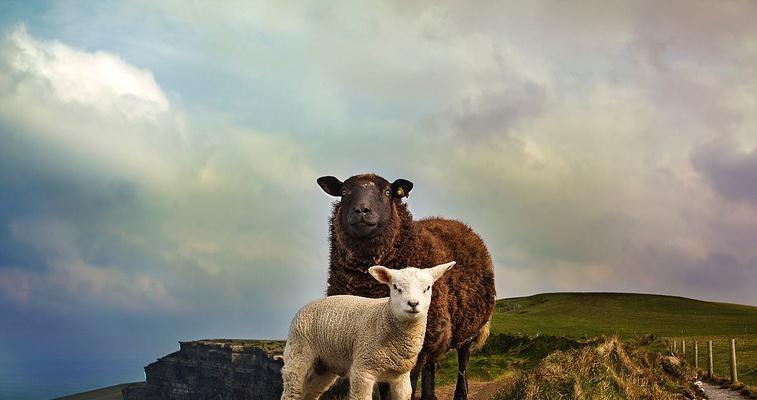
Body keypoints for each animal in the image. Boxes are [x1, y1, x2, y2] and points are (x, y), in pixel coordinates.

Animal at [280, 260, 452, 398]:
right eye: (396, 287)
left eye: (427, 288)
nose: (413, 303)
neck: (383, 319)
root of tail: (307, 305)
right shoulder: (363, 371)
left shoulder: (401, 377)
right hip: (298, 354)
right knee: (293, 391)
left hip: (325, 366)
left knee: (310, 392)